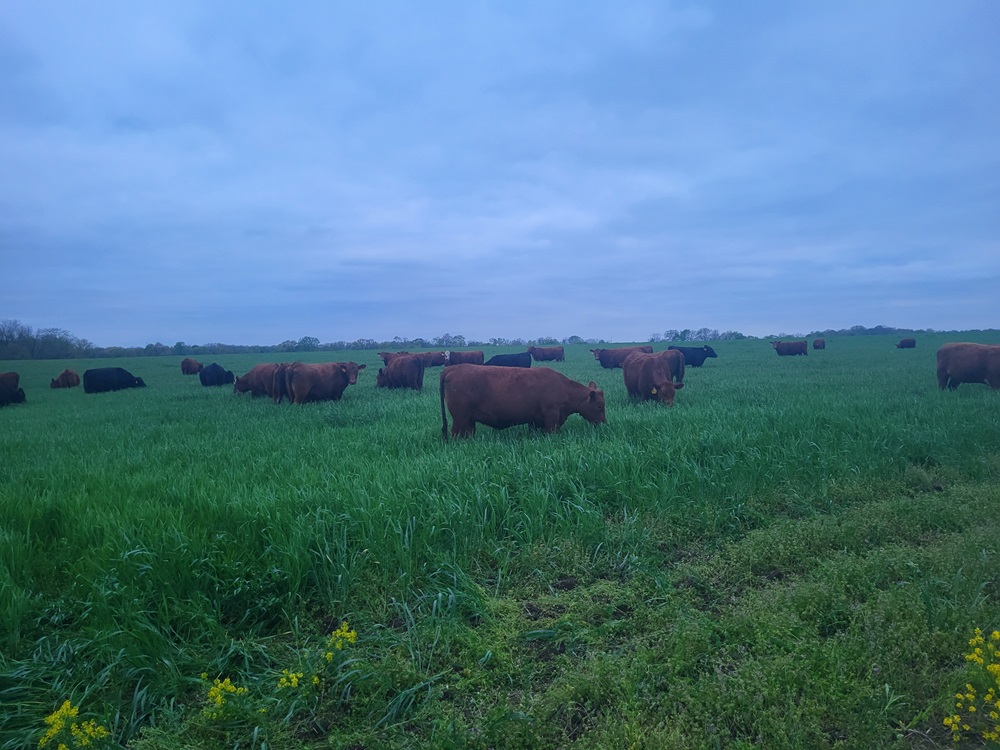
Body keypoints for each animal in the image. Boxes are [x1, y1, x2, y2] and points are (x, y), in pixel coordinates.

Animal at [440, 364, 606, 439]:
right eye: (599, 406)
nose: (604, 424)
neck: (563, 387)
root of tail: (455, 367)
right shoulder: (551, 416)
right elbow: (551, 431)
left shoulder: (535, 420)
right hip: (460, 418)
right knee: (456, 434)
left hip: (468, 420)